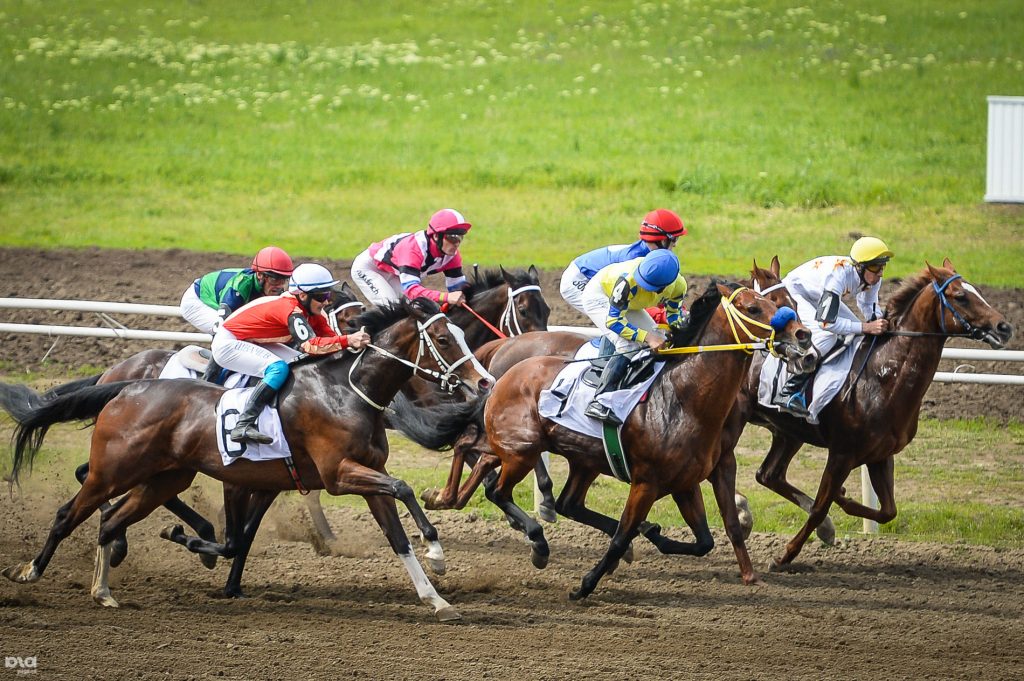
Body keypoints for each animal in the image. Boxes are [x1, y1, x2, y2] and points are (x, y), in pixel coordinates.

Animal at [0, 294, 495, 618]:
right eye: (445, 340)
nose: (485, 382)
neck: (346, 390)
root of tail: (125, 385)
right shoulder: (339, 475)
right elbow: (404, 487)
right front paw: (438, 552)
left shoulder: (357, 475)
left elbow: (396, 535)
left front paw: (435, 597)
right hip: (113, 469)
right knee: (70, 513)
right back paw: (30, 572)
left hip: (165, 478)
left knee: (110, 520)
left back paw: (104, 590)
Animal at [387, 280, 811, 593]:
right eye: (755, 308)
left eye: (777, 301)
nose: (803, 334)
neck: (683, 396)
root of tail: (500, 371)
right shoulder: (647, 481)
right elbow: (622, 536)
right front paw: (587, 584)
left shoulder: (685, 481)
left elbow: (704, 540)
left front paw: (655, 535)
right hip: (523, 450)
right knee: (498, 488)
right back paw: (535, 541)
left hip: (560, 454)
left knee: (548, 492)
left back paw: (449, 499)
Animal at [720, 260, 1015, 569]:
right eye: (961, 296)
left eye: (976, 290)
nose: (1004, 327)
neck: (883, 376)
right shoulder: (842, 453)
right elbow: (819, 507)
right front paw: (784, 555)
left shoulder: (880, 455)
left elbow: (888, 511)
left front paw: (841, 501)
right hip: (737, 418)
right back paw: (742, 511)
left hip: (789, 432)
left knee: (768, 475)